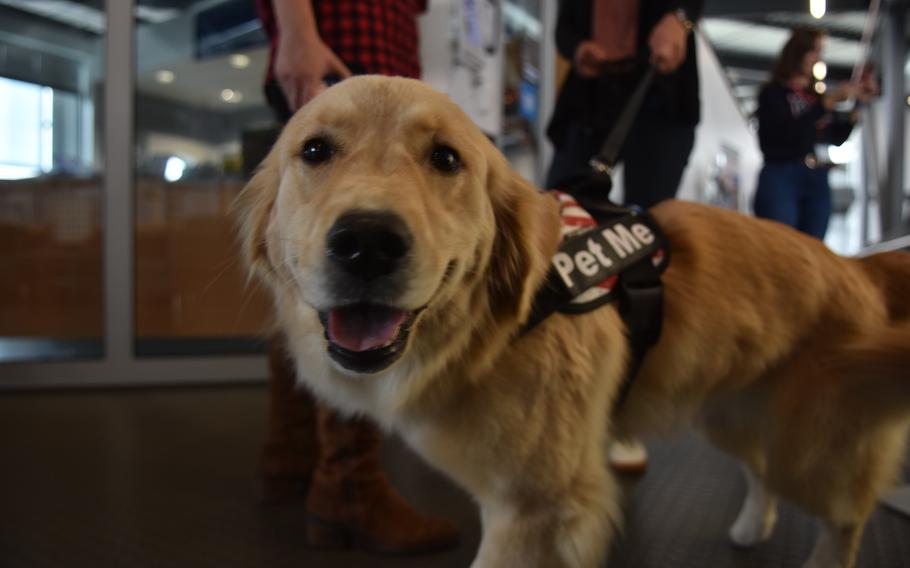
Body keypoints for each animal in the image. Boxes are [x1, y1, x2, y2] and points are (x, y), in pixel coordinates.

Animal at [239, 76, 910, 568]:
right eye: (316, 150)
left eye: (446, 159)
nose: (367, 243)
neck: (491, 328)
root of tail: (853, 267)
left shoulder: (538, 508)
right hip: (732, 413)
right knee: (762, 473)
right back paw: (751, 526)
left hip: (812, 449)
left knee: (844, 519)